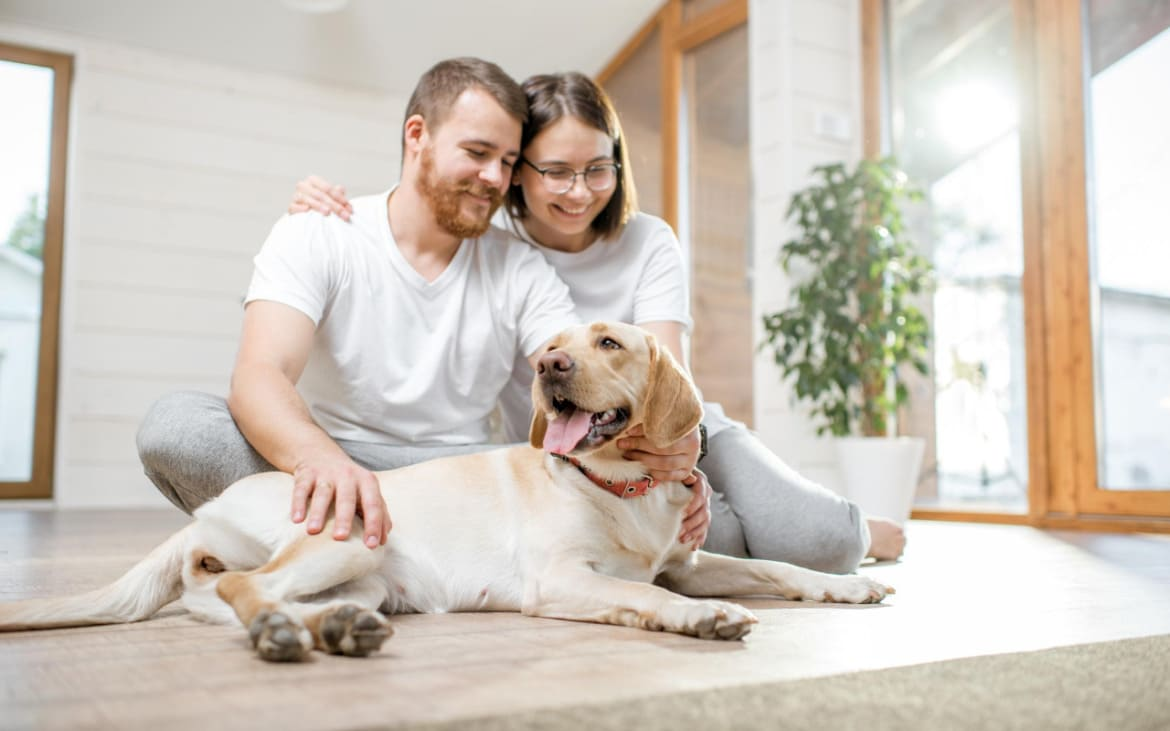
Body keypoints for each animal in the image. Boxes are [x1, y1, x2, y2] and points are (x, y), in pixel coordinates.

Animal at [0, 322, 889, 659]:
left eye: (608, 341)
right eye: (553, 345)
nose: (550, 365)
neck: (621, 484)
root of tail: (202, 520)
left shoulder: (687, 559)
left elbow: (778, 567)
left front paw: (847, 586)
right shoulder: (562, 579)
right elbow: (650, 598)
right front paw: (702, 619)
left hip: (365, 574)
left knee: (243, 596)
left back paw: (335, 628)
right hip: (348, 536)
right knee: (248, 589)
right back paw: (288, 634)